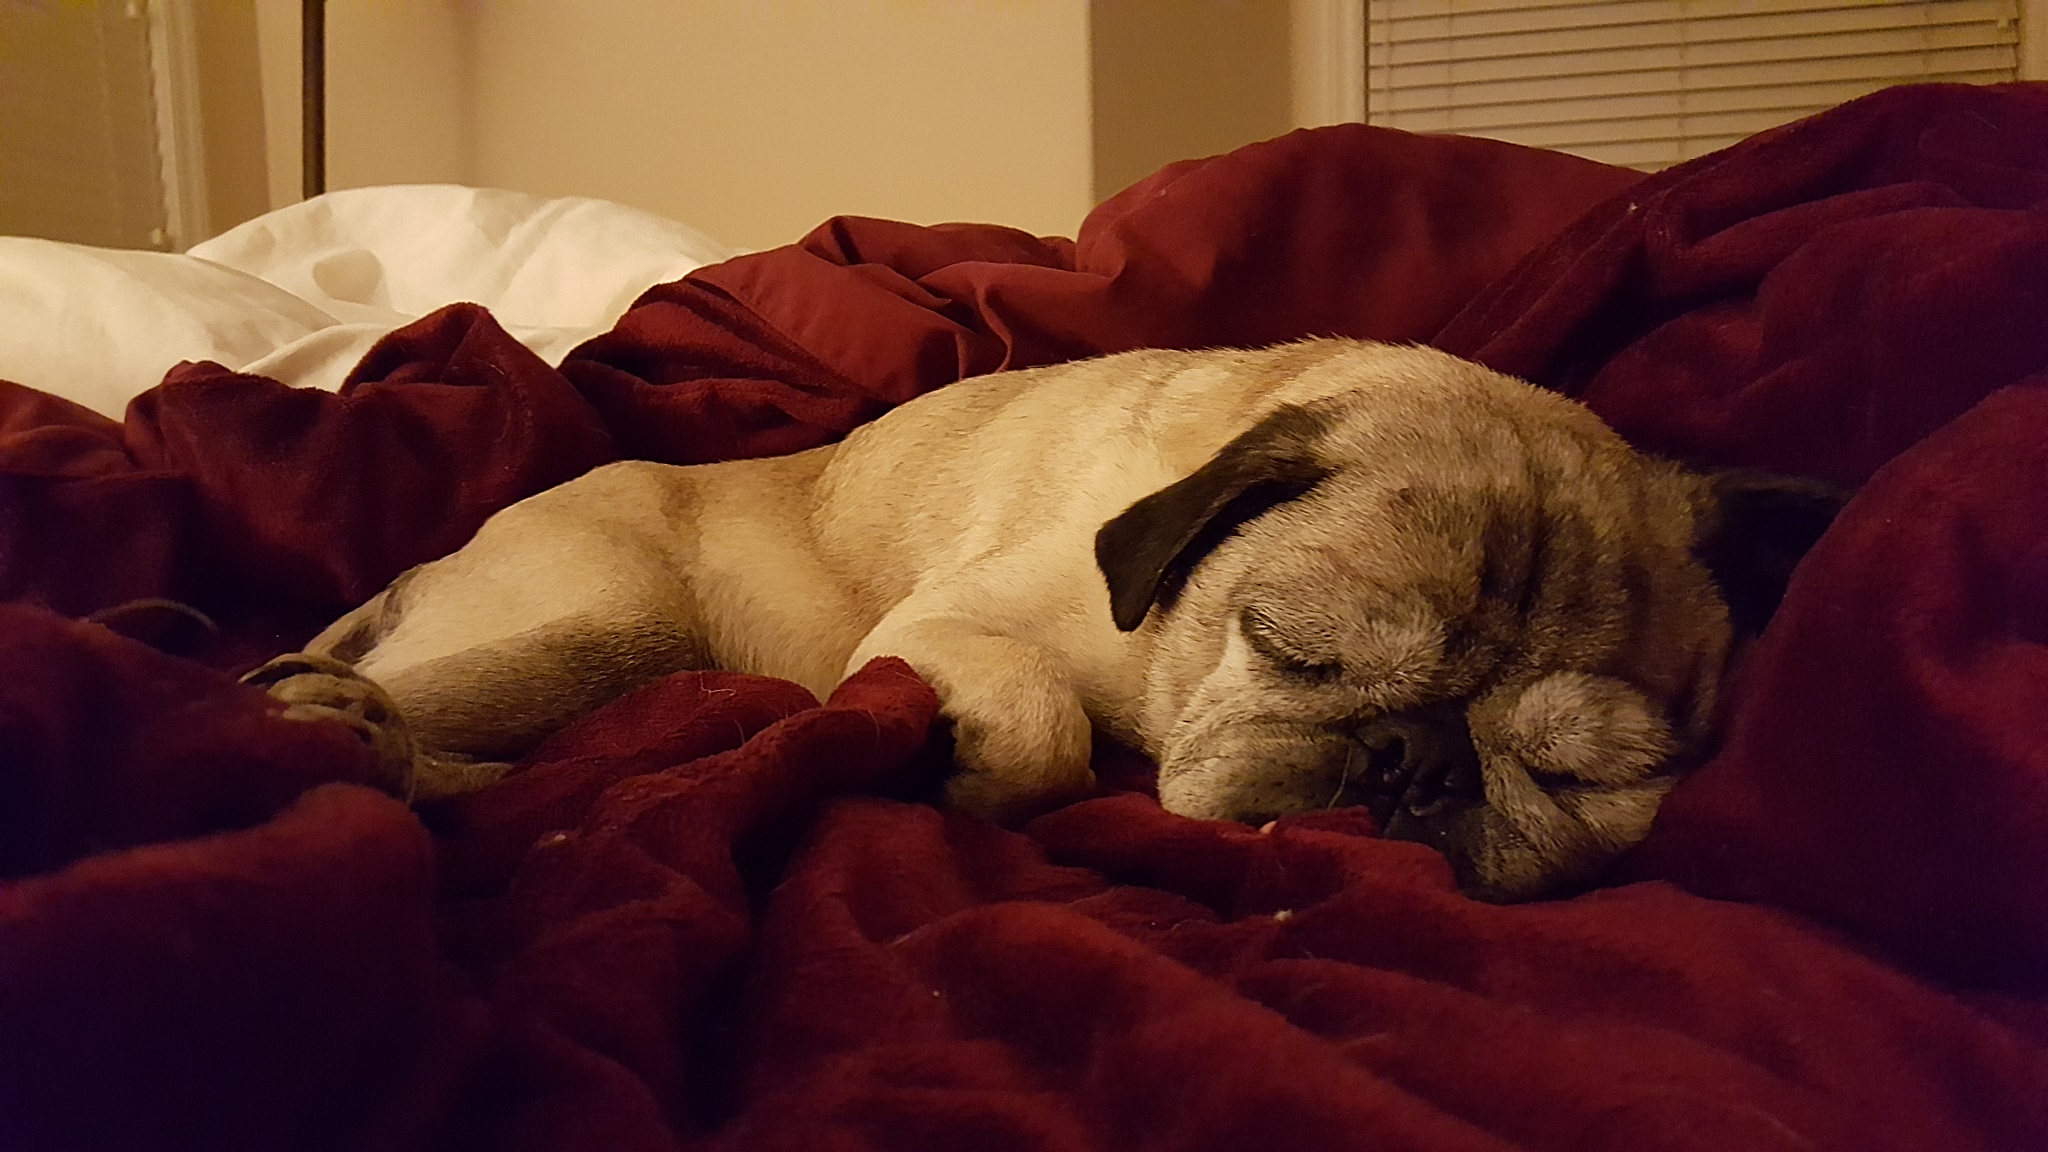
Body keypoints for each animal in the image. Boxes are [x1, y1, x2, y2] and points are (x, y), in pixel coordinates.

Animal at [246, 339, 1843, 901]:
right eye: (1297, 650)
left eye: (1581, 775)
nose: (1416, 762)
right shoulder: (952, 621)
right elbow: (1043, 731)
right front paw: (969, 764)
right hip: (616, 625)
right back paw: (329, 720)